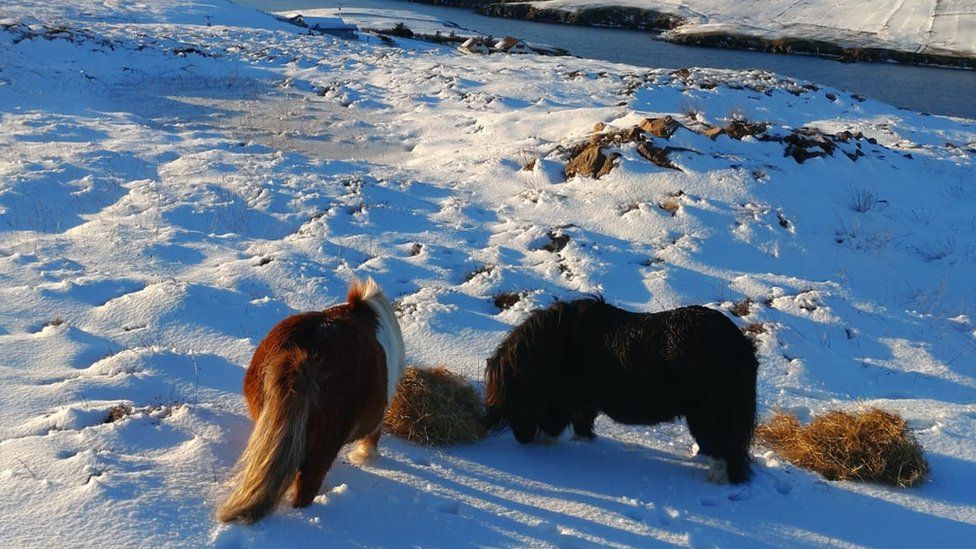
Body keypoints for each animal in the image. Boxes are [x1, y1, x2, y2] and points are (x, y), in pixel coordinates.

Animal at [484, 298, 760, 482]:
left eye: (514, 391)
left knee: (722, 448)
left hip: (709, 414)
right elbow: (582, 424)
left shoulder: (564, 402)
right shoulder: (582, 404)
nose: (522, 440)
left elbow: (555, 426)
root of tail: (739, 345)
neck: (556, 347)